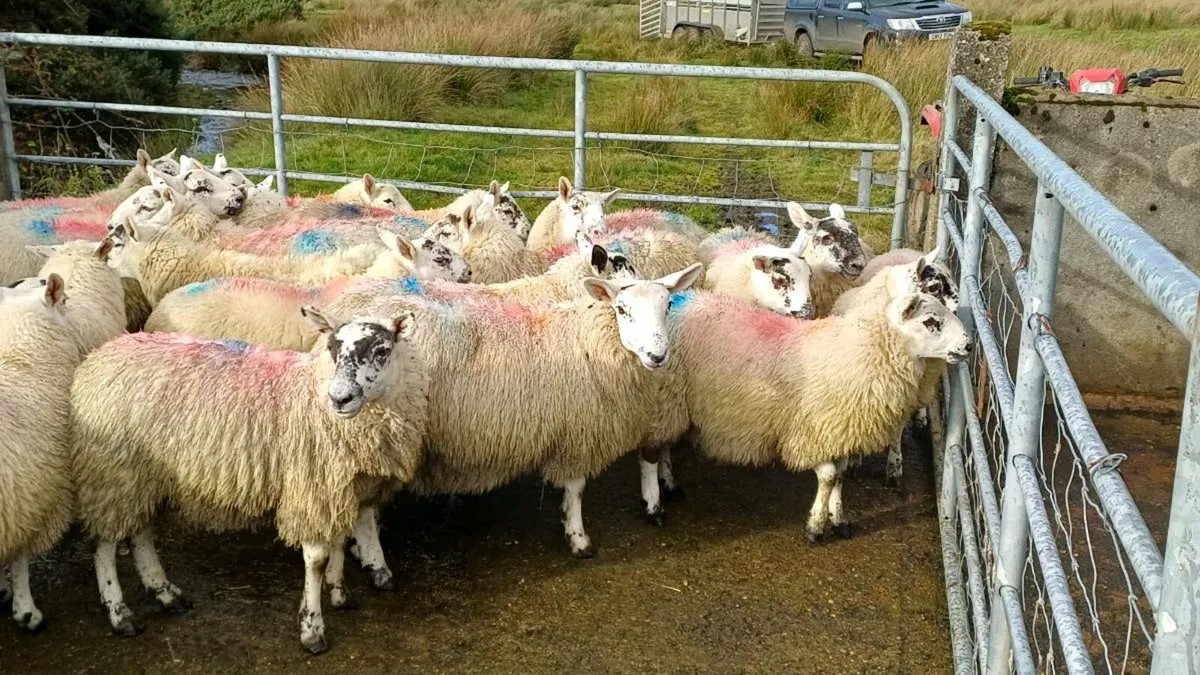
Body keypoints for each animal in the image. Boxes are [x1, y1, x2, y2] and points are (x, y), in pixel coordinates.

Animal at [70, 308, 428, 653]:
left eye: (382, 350)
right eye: (332, 349)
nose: (340, 398)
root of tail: (101, 355)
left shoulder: (340, 489)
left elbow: (338, 541)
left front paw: (339, 593)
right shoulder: (310, 487)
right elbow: (316, 560)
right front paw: (312, 628)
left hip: (144, 477)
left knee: (141, 532)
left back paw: (165, 592)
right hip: (112, 473)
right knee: (104, 545)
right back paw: (119, 612)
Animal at [326, 263, 704, 558]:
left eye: (668, 305)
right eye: (622, 309)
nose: (657, 355)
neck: (590, 341)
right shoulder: (578, 430)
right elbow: (577, 487)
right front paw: (579, 538)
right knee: (362, 503)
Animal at [661, 285, 969, 541]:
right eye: (930, 322)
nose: (967, 345)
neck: (858, 352)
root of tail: (679, 297)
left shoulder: (840, 432)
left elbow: (841, 475)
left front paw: (839, 519)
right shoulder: (811, 433)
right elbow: (829, 476)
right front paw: (816, 526)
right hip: (666, 402)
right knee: (661, 446)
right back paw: (668, 486)